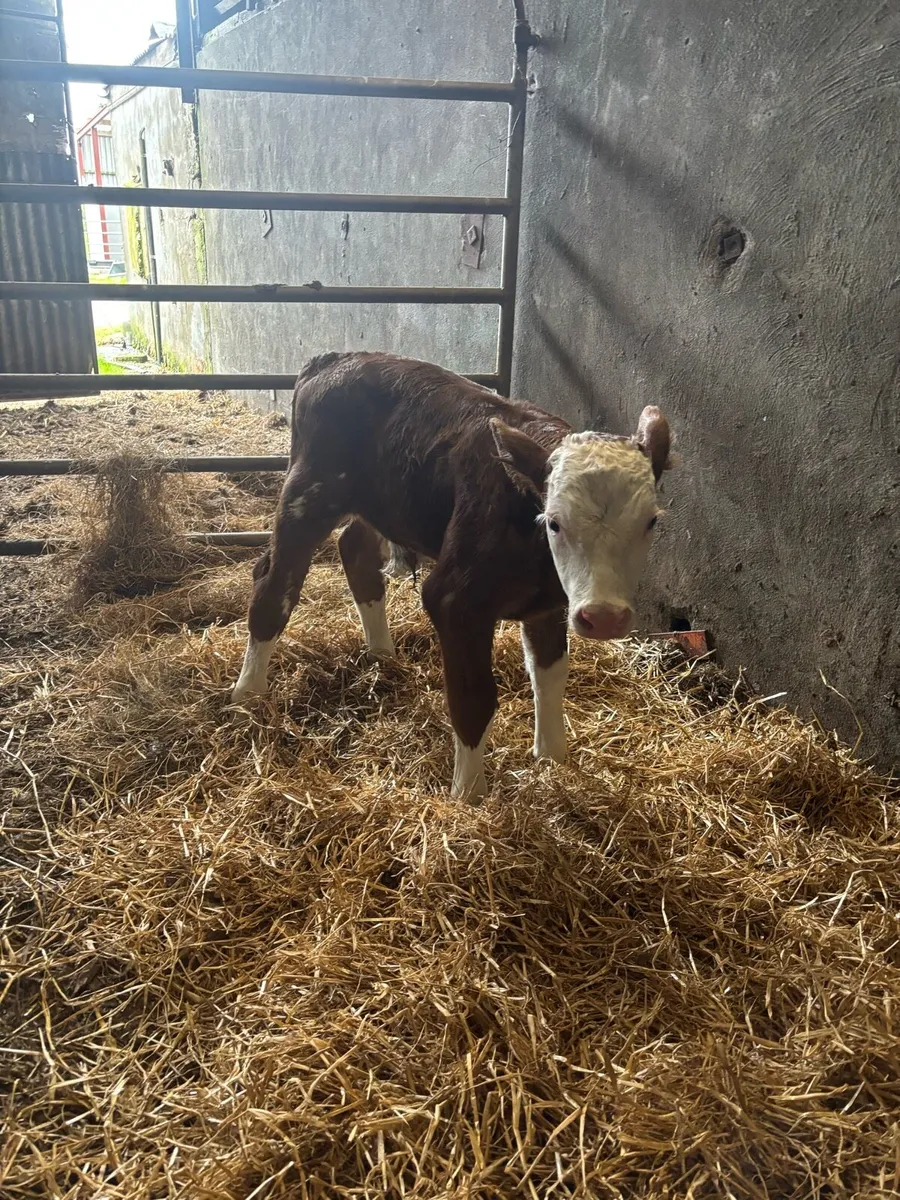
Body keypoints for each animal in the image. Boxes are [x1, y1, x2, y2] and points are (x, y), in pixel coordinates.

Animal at [231, 352, 674, 798]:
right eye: (554, 522)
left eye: (652, 521)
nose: (604, 617)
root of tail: (336, 358)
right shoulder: (453, 600)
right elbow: (473, 697)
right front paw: (468, 794)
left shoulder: (549, 603)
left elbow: (549, 677)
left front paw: (552, 760)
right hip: (310, 493)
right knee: (273, 584)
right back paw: (247, 693)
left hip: (381, 503)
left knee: (355, 550)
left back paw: (382, 653)